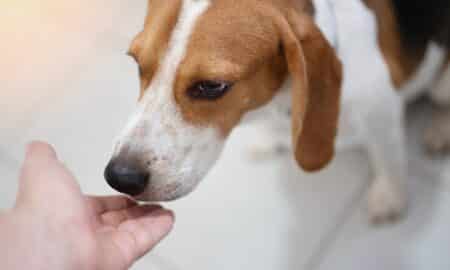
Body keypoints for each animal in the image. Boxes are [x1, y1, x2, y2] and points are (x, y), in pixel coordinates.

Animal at [103, 0, 450, 223]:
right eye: (137, 63)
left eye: (212, 86)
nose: (120, 177)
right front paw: (270, 140)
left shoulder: (380, 110)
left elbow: (388, 159)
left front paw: (390, 196)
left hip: (440, 85)